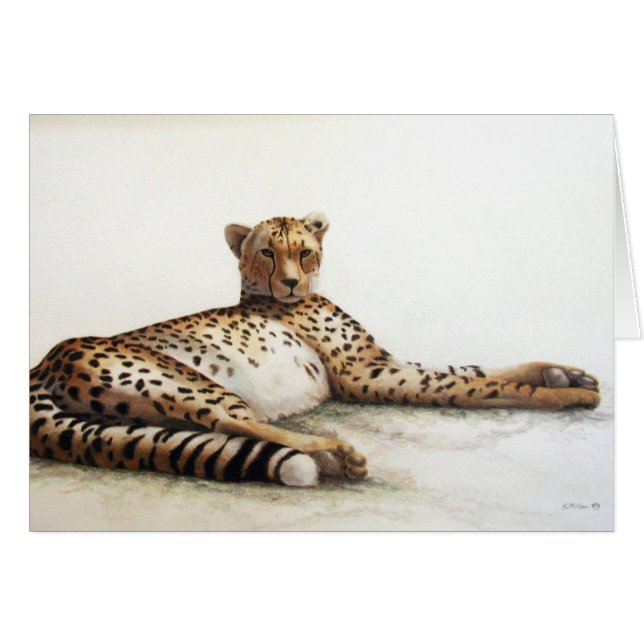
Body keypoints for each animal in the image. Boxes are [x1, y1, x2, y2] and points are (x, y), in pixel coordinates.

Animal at [29, 212, 600, 487]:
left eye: (303, 251)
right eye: (266, 252)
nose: (288, 282)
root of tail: (43, 360)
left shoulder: (385, 362)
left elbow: (477, 368)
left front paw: (564, 373)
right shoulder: (370, 375)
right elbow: (472, 385)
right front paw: (568, 397)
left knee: (215, 430)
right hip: (185, 380)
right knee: (235, 421)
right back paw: (333, 455)